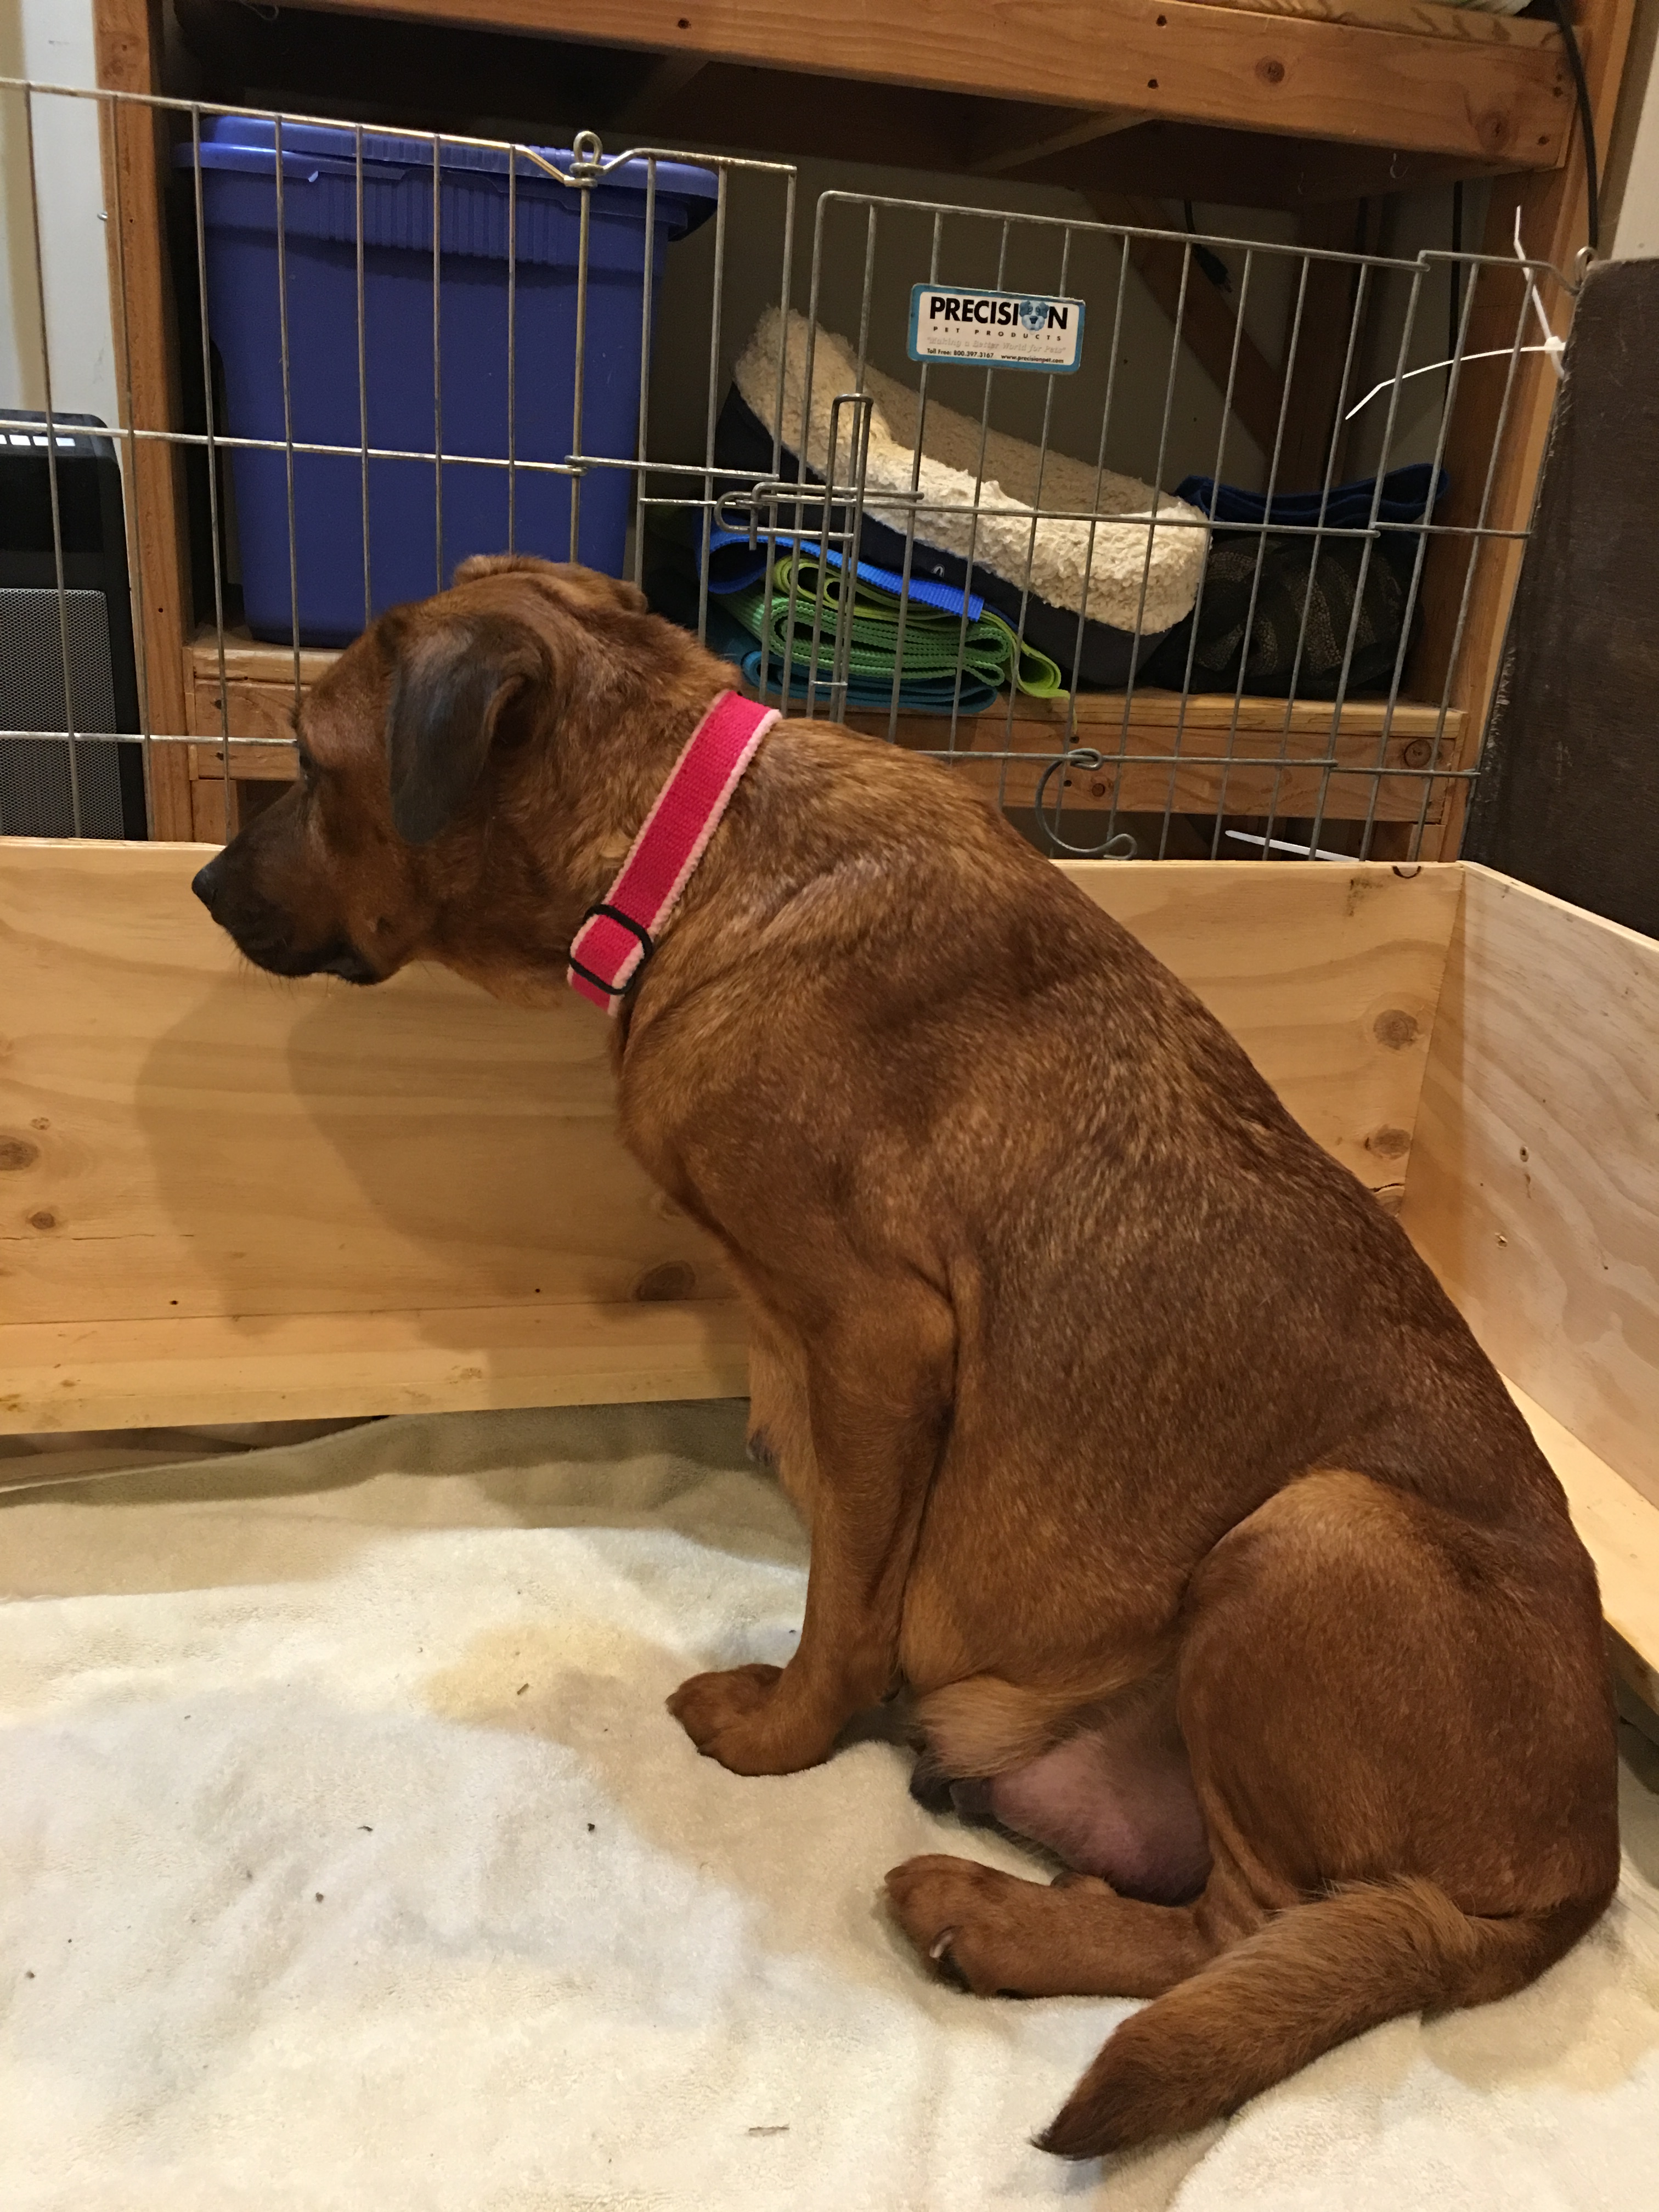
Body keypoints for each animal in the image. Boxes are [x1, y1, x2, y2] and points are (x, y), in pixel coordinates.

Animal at [192, 555, 1619, 2158]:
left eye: (311, 762)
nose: (199, 885)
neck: (692, 851)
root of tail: (1577, 1882)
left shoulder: (880, 1340)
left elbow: (846, 1605)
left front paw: (779, 1728)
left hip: (1319, 1531)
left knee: (1231, 1929)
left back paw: (988, 1920)